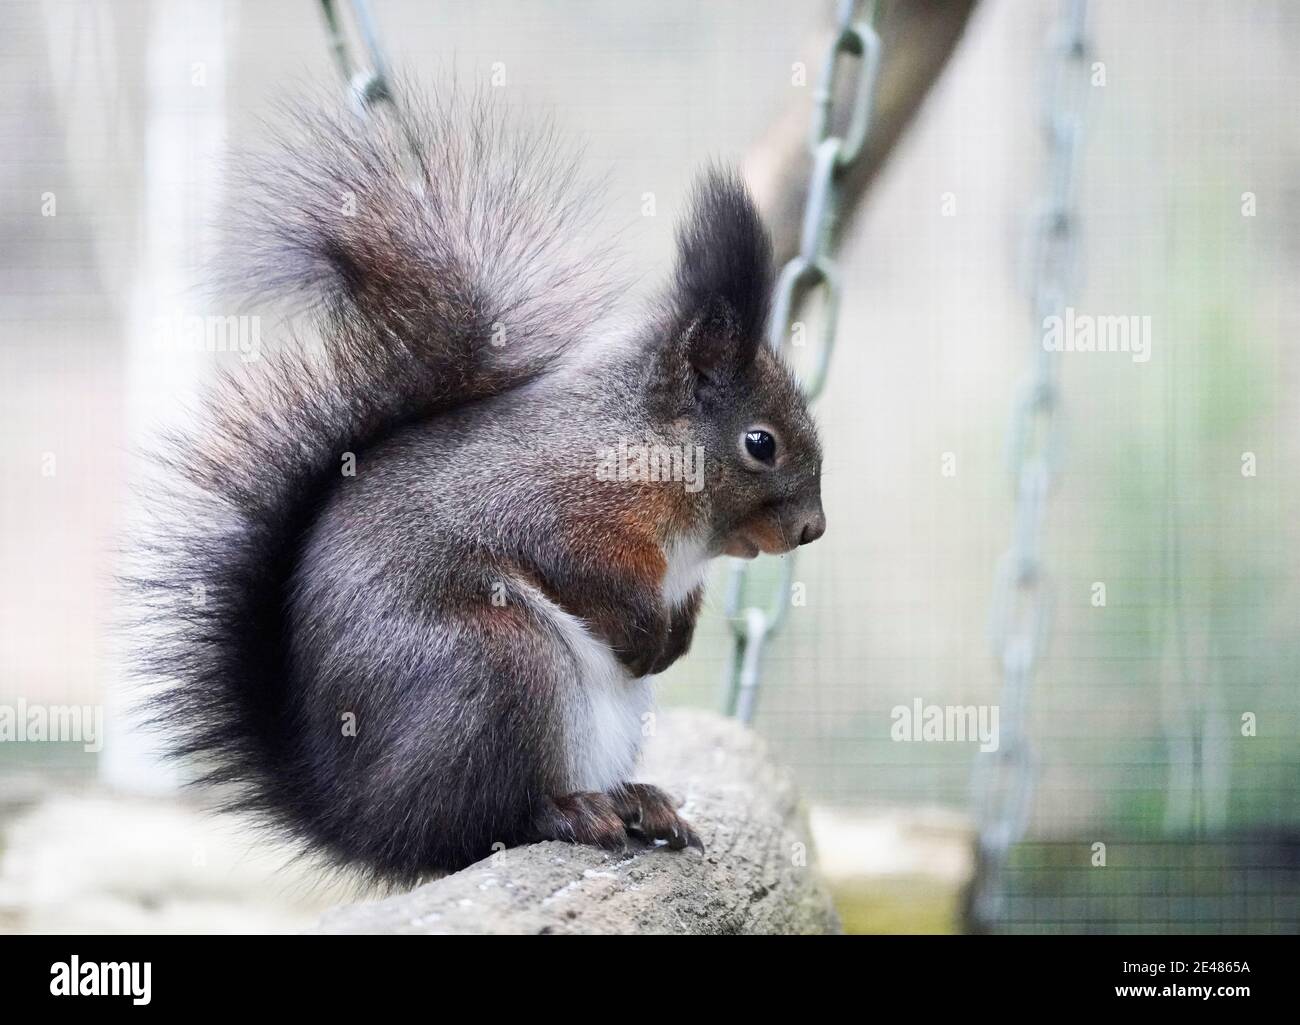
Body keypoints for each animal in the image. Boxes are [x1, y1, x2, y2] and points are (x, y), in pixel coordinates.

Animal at [134, 88, 826, 885]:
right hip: (497, 663)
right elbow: (582, 567)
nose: (813, 528)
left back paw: (638, 800)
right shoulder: (554, 501)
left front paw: (675, 637)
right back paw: (565, 811)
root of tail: (361, 819)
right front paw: (647, 629)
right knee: (470, 825)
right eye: (760, 443)